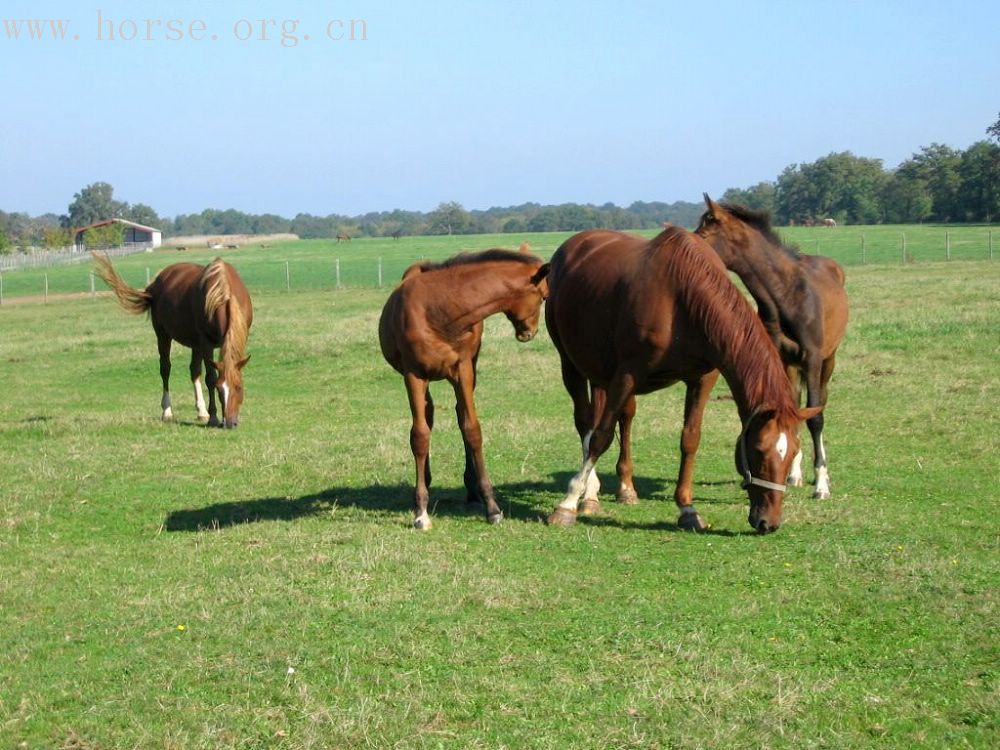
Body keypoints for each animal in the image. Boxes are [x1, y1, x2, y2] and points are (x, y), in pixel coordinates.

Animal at [93, 253, 254, 428]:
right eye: (219, 389)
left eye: (239, 387)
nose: (230, 423)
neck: (223, 294)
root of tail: (155, 283)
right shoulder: (206, 344)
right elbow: (210, 378)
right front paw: (214, 417)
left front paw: (213, 415)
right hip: (163, 336)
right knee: (165, 369)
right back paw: (167, 411)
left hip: (195, 344)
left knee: (194, 371)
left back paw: (201, 412)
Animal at [378, 245, 552, 528]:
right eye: (544, 296)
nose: (529, 332)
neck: (440, 311)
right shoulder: (414, 376)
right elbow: (419, 435)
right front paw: (421, 511)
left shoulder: (463, 371)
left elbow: (472, 430)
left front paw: (492, 506)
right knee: (428, 418)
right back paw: (425, 483)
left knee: (460, 416)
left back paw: (472, 489)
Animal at [548, 228, 820, 536]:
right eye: (759, 450)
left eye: (794, 451)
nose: (768, 522)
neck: (682, 296)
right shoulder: (627, 373)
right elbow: (600, 438)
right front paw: (567, 504)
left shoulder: (701, 378)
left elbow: (690, 439)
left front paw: (687, 509)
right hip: (572, 364)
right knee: (586, 424)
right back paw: (588, 492)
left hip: (602, 373)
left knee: (623, 419)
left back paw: (621, 490)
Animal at [696, 197, 852, 496]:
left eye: (706, 234)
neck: (786, 294)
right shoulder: (780, 357)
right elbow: (791, 410)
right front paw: (790, 473)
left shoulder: (813, 359)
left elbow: (815, 417)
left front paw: (821, 484)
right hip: (793, 366)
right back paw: (795, 473)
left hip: (829, 360)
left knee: (820, 404)